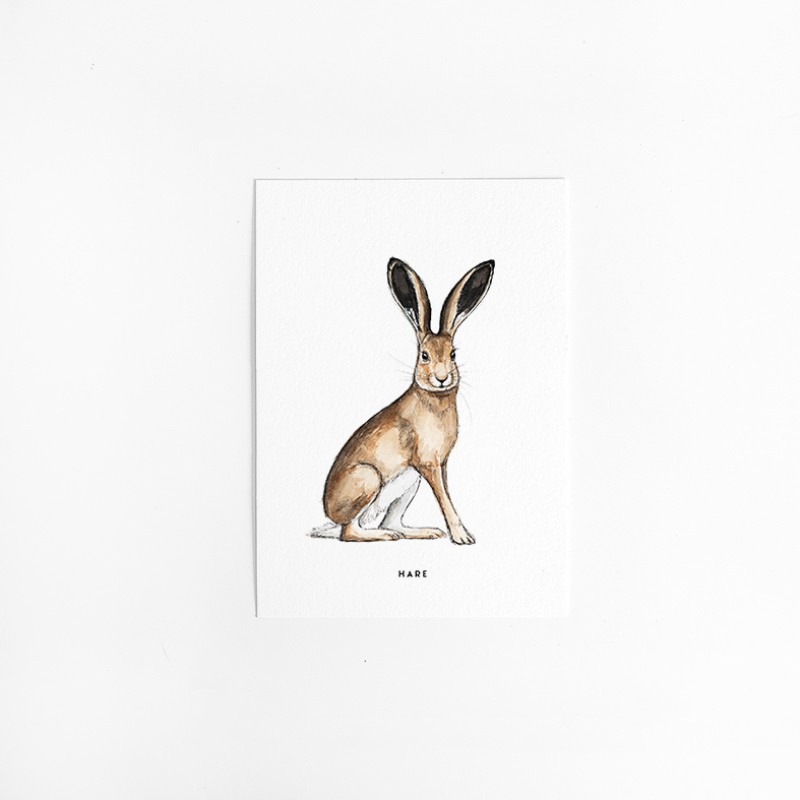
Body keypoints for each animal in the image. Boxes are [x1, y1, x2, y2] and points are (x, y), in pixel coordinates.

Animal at [322, 257, 494, 545]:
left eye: (453, 354)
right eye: (424, 355)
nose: (441, 378)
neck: (434, 400)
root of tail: (329, 514)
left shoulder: (440, 464)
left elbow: (446, 495)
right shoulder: (428, 463)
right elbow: (444, 500)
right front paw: (462, 537)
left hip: (407, 486)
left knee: (391, 520)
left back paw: (423, 531)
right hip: (369, 478)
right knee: (350, 531)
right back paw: (386, 536)